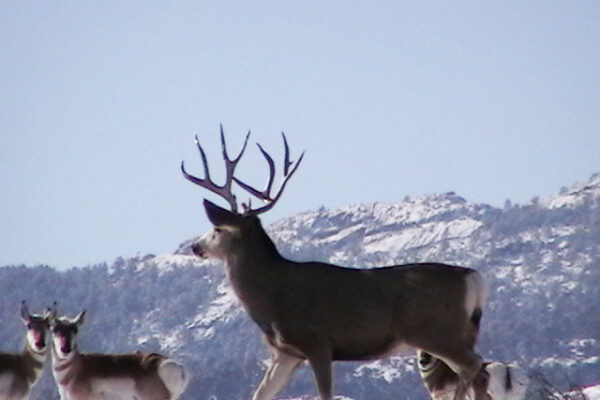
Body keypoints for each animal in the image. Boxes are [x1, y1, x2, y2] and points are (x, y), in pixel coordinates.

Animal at [182, 127, 488, 400]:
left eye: (217, 229)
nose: (195, 247)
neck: (272, 298)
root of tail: (472, 277)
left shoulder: (317, 341)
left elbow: (325, 394)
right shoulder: (285, 354)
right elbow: (259, 395)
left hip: (434, 329)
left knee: (472, 365)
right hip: (458, 332)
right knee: (479, 370)